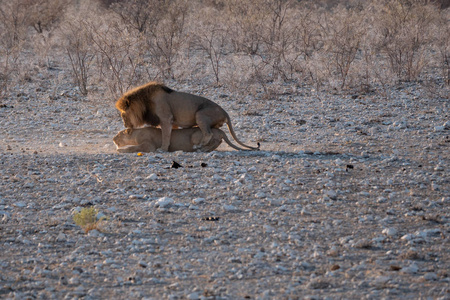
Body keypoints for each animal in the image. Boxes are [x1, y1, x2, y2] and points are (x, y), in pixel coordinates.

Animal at [114, 81, 258, 151]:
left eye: (123, 115)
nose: (125, 125)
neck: (145, 103)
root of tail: (225, 112)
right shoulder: (173, 122)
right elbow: (171, 134)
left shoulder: (166, 118)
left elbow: (165, 135)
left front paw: (163, 149)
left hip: (200, 114)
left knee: (208, 133)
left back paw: (198, 147)